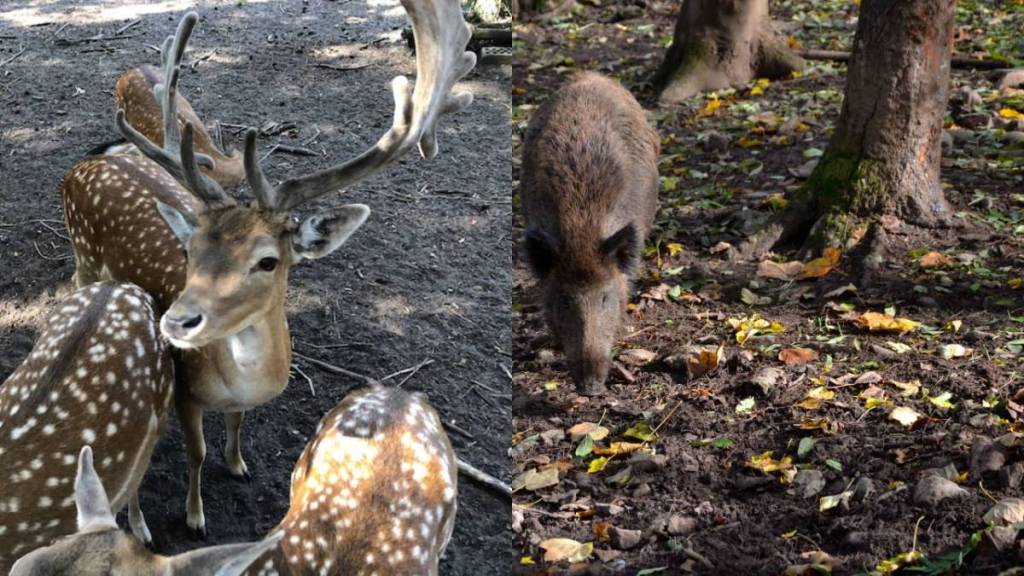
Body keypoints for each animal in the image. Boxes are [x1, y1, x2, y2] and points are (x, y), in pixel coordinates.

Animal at [60, 1, 476, 538]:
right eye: (189, 250)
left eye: (267, 260)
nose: (177, 322)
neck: (240, 382)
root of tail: (82, 167)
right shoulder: (186, 394)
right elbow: (197, 453)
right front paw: (195, 517)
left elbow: (237, 427)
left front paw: (238, 464)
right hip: (84, 257)